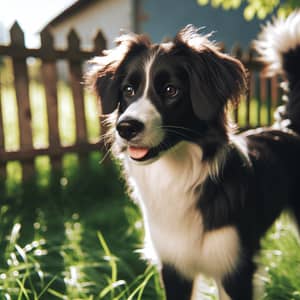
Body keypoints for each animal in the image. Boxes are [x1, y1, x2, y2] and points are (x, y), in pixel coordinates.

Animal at [85, 12, 300, 300]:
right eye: (128, 90)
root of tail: (288, 128)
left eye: (170, 90)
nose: (126, 127)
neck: (178, 175)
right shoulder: (173, 267)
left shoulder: (236, 270)